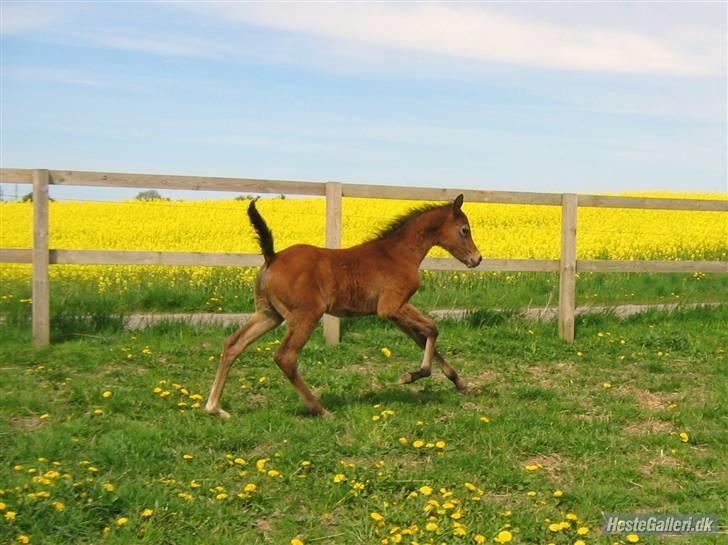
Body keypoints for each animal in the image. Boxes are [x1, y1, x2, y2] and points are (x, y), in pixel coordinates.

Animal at [205, 193, 480, 418]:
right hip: (305, 316)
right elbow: (433, 329)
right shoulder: (391, 307)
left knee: (233, 344)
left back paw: (215, 408)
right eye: (464, 230)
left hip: (268, 314)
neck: (398, 254)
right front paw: (412, 375)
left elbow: (422, 339)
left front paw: (460, 383)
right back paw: (320, 409)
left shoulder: (394, 312)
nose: (476, 259)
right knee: (285, 357)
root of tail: (272, 257)